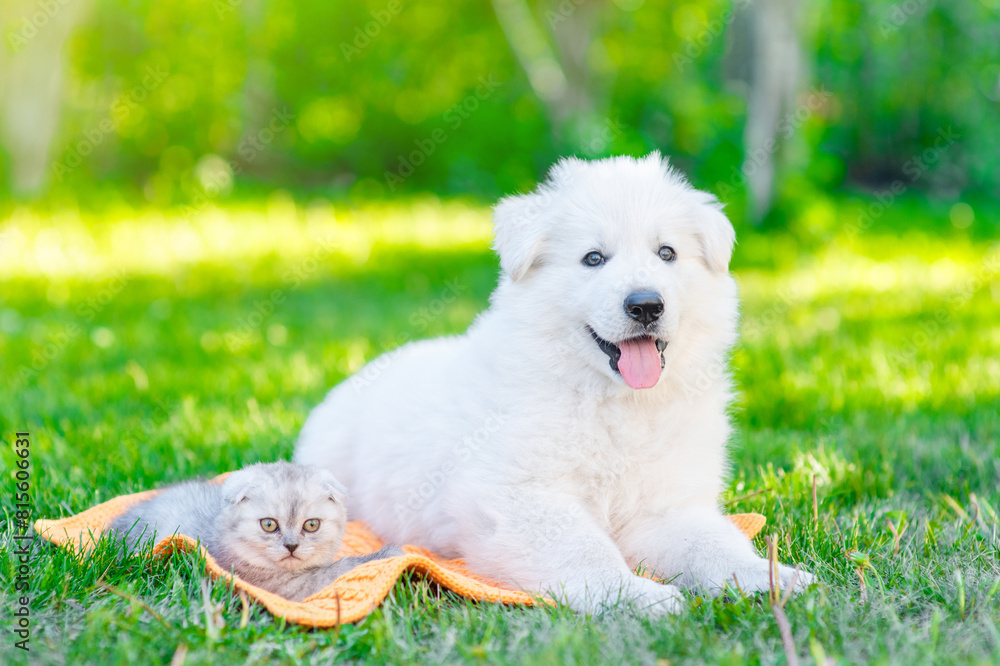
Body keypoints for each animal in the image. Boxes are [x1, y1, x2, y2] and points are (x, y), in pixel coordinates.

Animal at [109, 460, 402, 600]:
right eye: (269, 524)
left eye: (311, 525)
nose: (291, 546)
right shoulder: (286, 587)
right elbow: (342, 569)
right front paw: (389, 554)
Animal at [294, 152, 812, 612]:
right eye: (593, 258)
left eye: (667, 253)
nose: (646, 305)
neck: (612, 401)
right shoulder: (520, 499)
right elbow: (585, 550)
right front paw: (636, 595)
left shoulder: (665, 506)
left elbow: (714, 542)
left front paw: (767, 577)